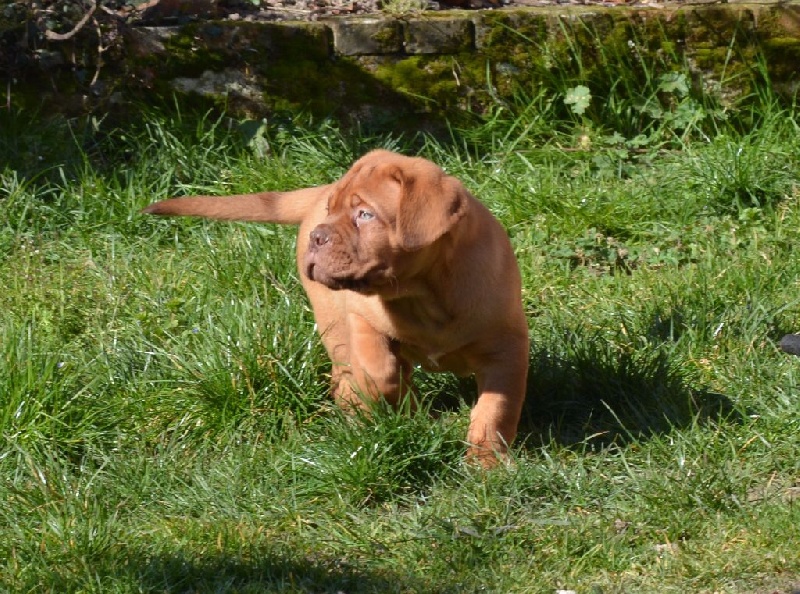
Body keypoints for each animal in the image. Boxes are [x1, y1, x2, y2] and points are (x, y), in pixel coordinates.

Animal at [145, 148, 528, 462]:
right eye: (333, 211)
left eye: (365, 215)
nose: (318, 235)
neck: (422, 294)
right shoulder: (361, 315)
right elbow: (378, 369)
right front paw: (399, 405)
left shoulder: (505, 349)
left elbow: (496, 409)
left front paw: (486, 463)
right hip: (332, 320)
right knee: (346, 371)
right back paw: (362, 411)